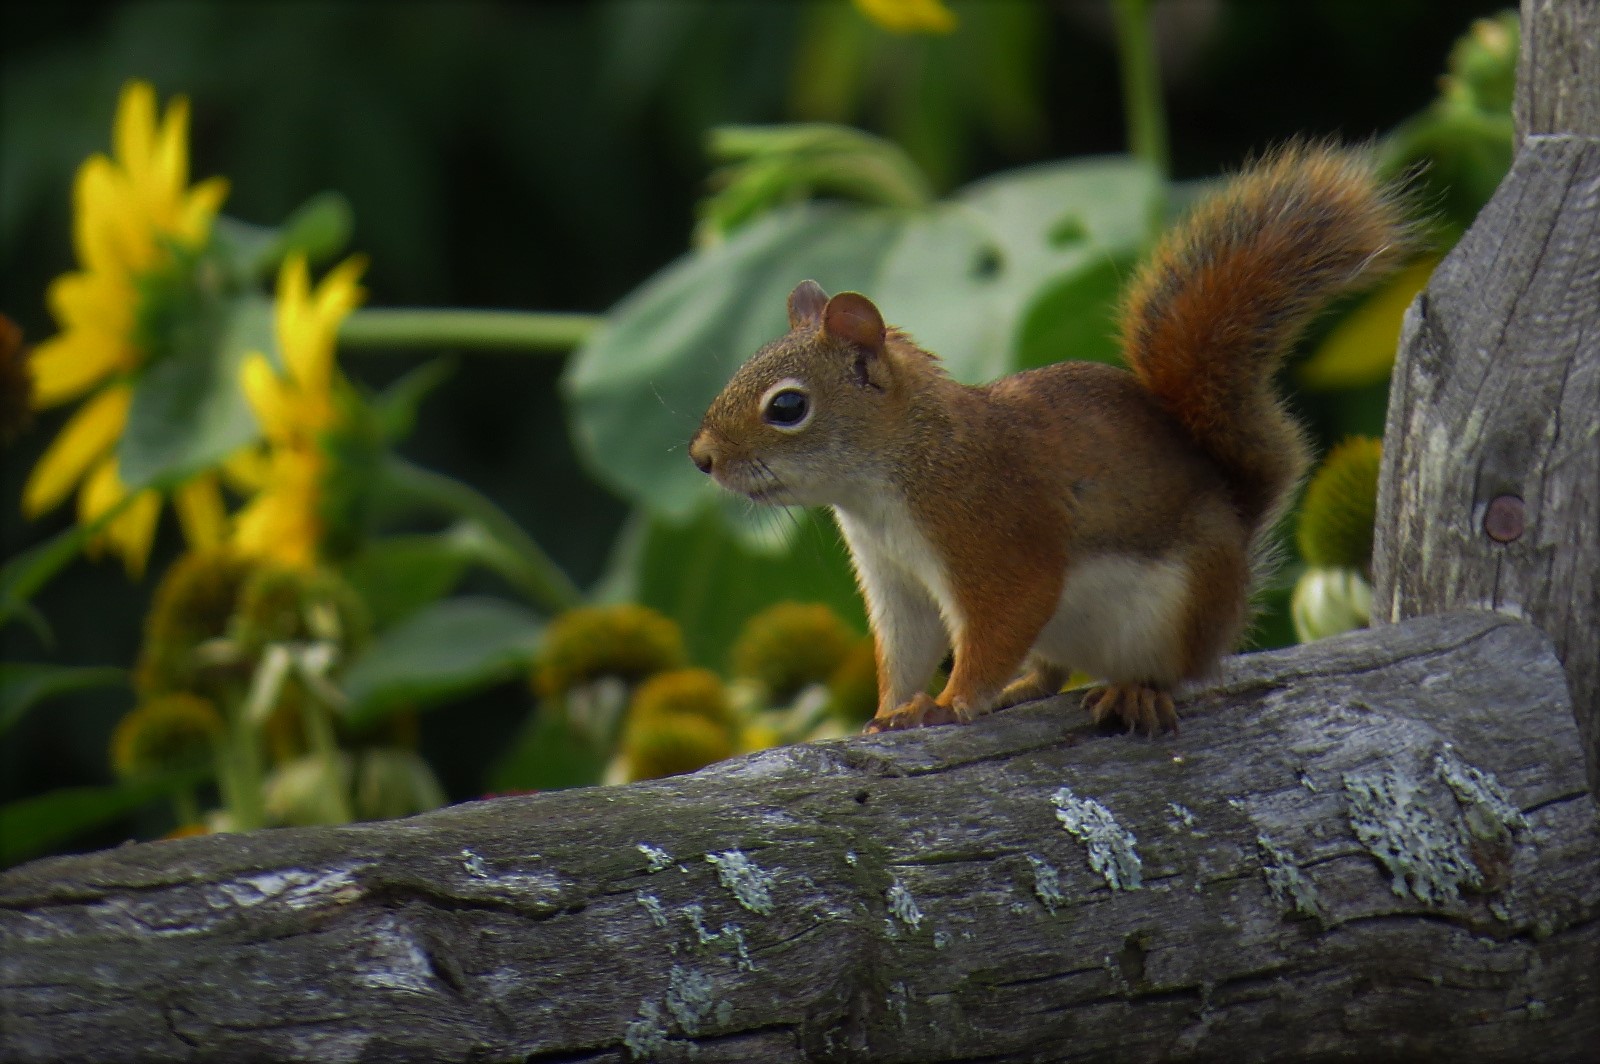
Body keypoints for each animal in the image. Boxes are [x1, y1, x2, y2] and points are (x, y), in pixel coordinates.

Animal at [688, 145, 1414, 736]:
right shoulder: (896, 583)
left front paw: (950, 704)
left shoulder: (994, 536)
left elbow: (1001, 619)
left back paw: (1134, 693)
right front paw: (890, 712)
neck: (895, 472)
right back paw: (1024, 690)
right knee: (1051, 671)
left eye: (787, 407)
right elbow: (905, 652)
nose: (702, 458)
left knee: (1172, 672)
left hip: (1175, 613)